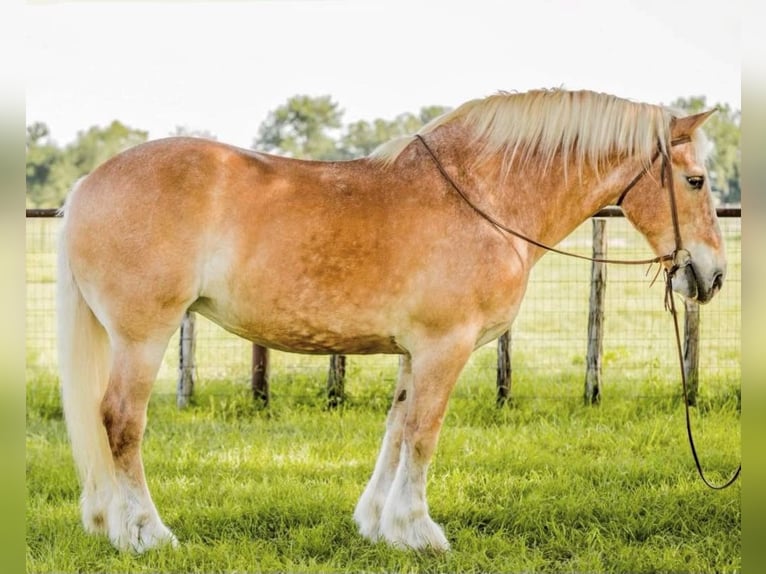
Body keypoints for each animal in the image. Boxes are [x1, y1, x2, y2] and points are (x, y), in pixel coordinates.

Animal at [55, 89, 728, 552]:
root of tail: (87, 183)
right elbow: (424, 433)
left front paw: (380, 524)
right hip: (143, 338)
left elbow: (397, 428)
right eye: (695, 180)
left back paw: (111, 524)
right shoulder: (444, 348)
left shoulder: (415, 352)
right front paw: (419, 530)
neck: (484, 198)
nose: (714, 274)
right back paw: (147, 533)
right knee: (121, 422)